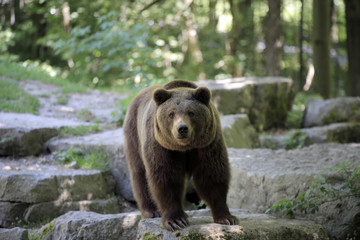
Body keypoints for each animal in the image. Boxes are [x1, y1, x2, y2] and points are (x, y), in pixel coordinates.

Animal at [122, 79, 238, 231]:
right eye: (171, 114)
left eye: (191, 112)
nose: (182, 128)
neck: (185, 147)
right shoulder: (162, 146)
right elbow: (166, 177)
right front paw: (175, 220)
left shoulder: (208, 143)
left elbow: (212, 174)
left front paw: (227, 218)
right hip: (134, 133)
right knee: (139, 173)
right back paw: (151, 211)